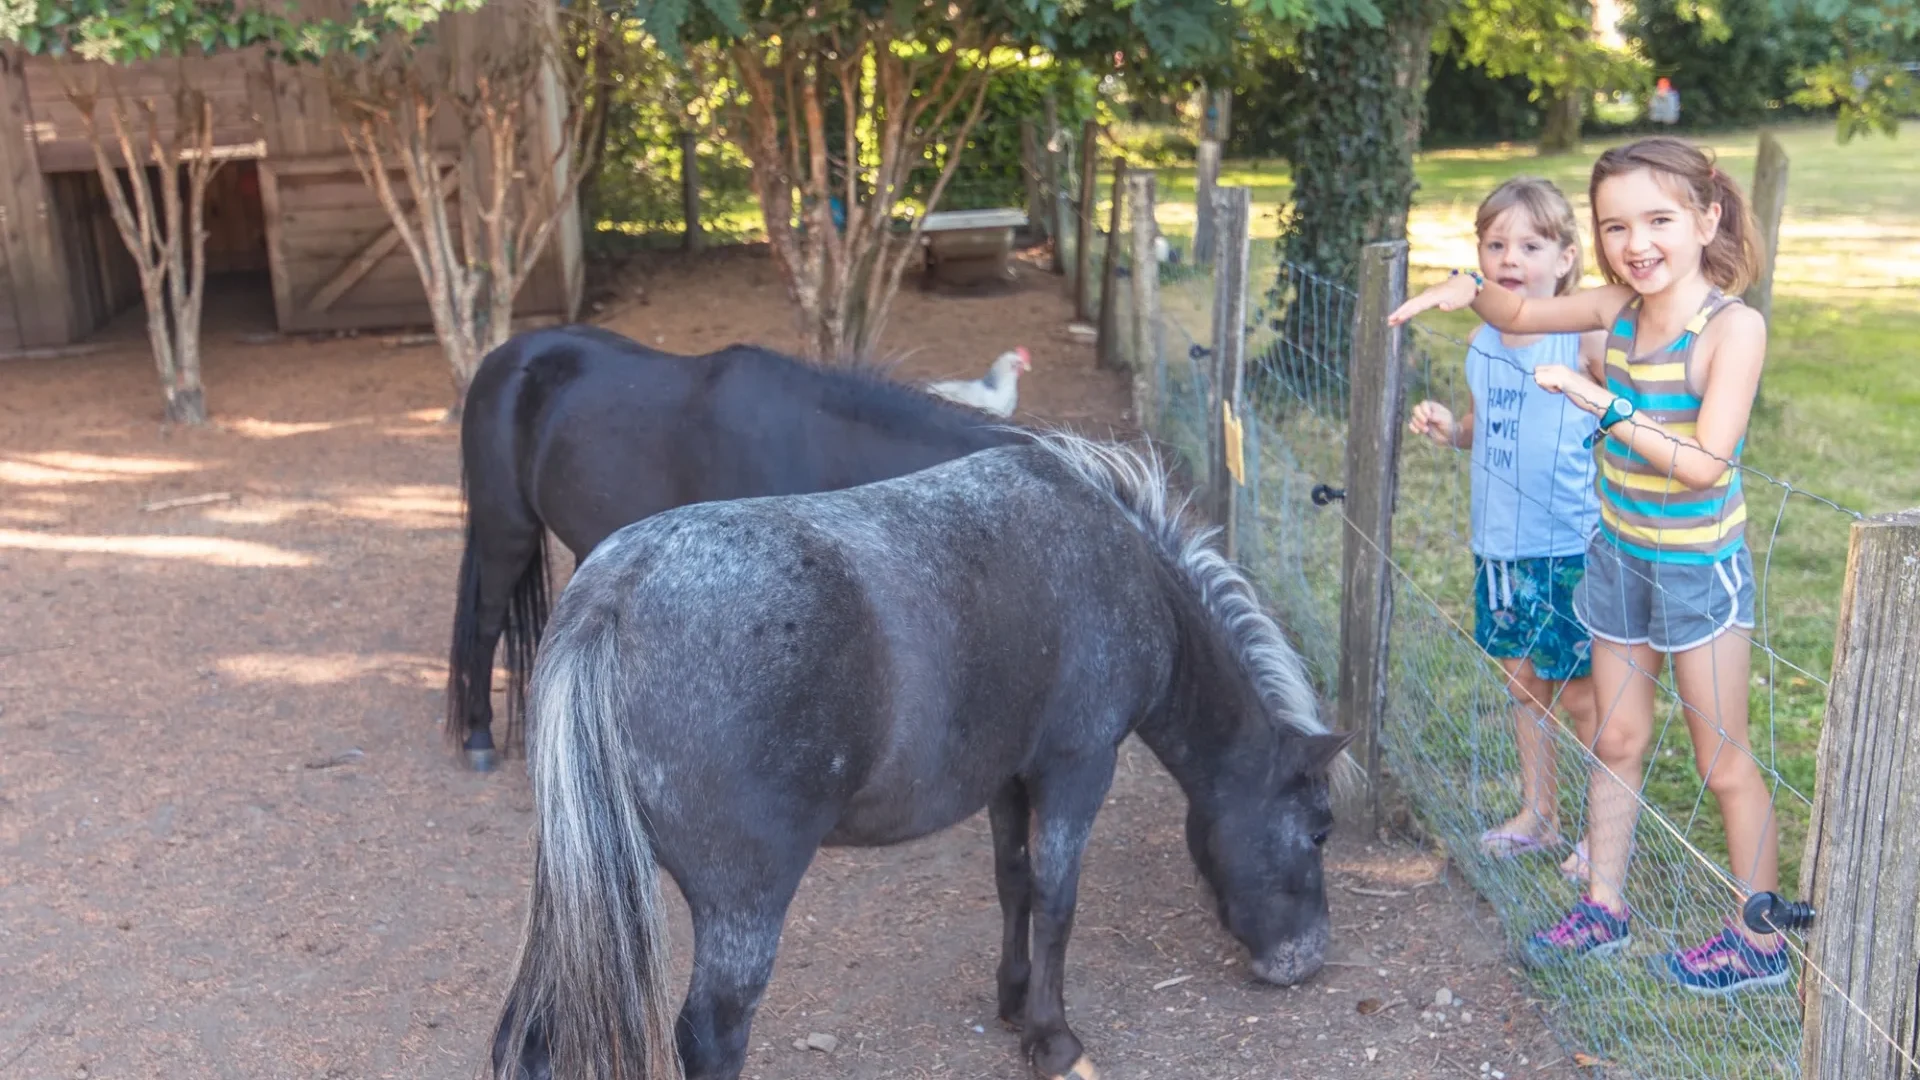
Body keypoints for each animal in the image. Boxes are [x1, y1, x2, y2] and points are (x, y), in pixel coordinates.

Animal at [499, 430, 1367, 1076]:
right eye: (1319, 830)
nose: (1305, 960)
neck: (1120, 560)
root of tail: (612, 597)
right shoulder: (1077, 766)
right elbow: (1057, 899)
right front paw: (1054, 1040)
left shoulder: (1011, 777)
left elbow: (1015, 884)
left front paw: (1016, 1002)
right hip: (742, 911)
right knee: (712, 1037)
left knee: (534, 1038)